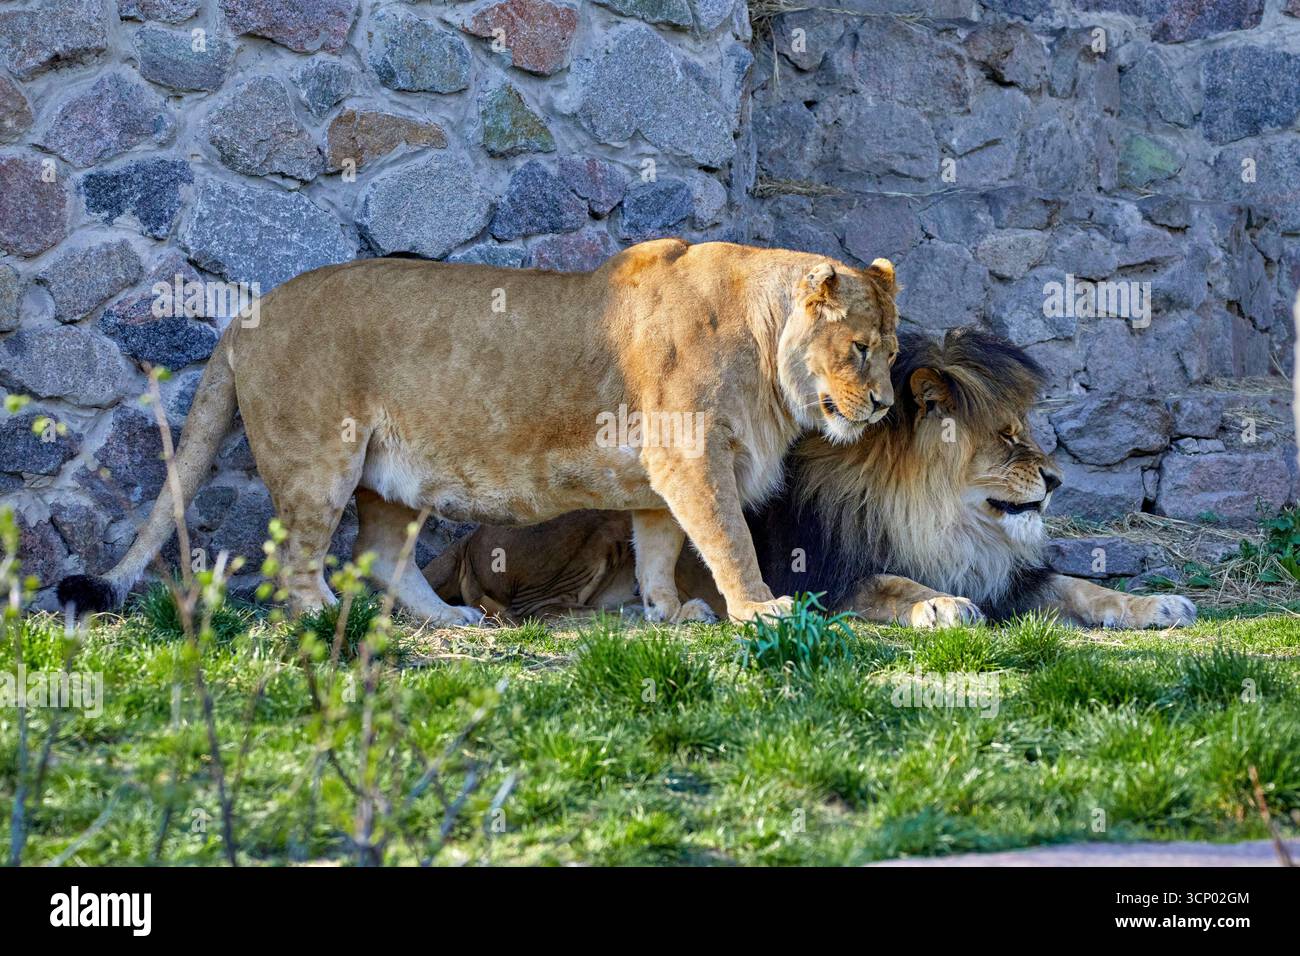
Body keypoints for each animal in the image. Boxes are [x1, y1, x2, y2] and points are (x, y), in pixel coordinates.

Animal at [57, 239, 901, 625]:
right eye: (861, 348)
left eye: (892, 354)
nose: (884, 405)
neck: (765, 344)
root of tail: (243, 319)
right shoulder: (692, 454)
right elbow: (729, 539)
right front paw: (760, 610)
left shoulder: (661, 477)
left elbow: (661, 547)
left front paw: (668, 613)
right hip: (320, 462)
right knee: (296, 562)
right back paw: (327, 617)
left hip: (387, 477)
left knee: (381, 555)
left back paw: (451, 622)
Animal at [422, 327, 1197, 630]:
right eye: (1007, 437)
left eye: (1027, 430)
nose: (1058, 479)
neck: (947, 520)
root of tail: (464, 538)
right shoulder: (826, 578)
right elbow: (893, 582)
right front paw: (942, 605)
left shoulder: (1008, 574)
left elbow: (1081, 587)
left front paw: (1159, 605)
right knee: (532, 607)